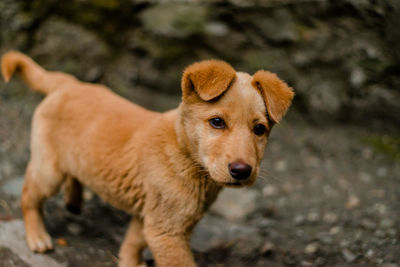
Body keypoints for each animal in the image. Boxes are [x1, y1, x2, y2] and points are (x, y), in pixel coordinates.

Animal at [0, 51, 294, 266]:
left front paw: (130, 262)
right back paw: (37, 237)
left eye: (260, 129)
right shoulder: (167, 231)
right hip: (47, 168)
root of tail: (68, 83)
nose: (242, 170)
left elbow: (133, 243)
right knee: (29, 196)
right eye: (217, 122)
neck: (183, 152)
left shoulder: (152, 217)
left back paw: (74, 200)